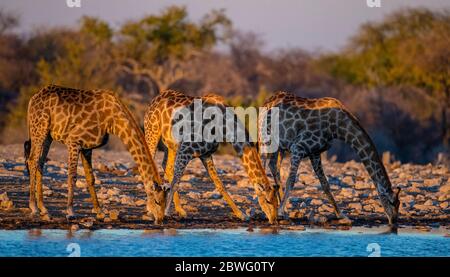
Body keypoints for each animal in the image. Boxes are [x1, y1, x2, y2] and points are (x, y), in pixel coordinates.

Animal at [23, 83, 167, 222]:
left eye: (165, 202)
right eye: (157, 201)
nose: (160, 220)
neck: (113, 121)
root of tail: (32, 99)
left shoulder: (87, 147)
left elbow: (90, 178)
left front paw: (99, 212)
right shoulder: (73, 141)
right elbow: (72, 176)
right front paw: (70, 212)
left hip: (48, 135)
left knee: (40, 163)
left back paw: (44, 209)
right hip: (39, 129)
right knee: (32, 160)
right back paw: (34, 207)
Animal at [142, 89, 280, 223]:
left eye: (277, 203)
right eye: (268, 201)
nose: (273, 220)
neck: (224, 127)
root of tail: (154, 100)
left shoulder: (206, 155)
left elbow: (220, 185)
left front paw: (242, 215)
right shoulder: (186, 149)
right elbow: (176, 181)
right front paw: (165, 212)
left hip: (171, 145)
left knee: (166, 166)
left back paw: (180, 210)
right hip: (152, 133)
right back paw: (151, 209)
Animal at [258, 91, 402, 226]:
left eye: (399, 203)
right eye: (391, 202)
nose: (393, 221)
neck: (337, 127)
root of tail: (266, 102)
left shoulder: (315, 152)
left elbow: (325, 184)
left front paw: (342, 215)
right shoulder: (298, 147)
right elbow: (291, 180)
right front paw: (280, 212)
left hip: (279, 145)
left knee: (273, 166)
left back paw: (283, 209)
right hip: (264, 138)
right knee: (263, 164)